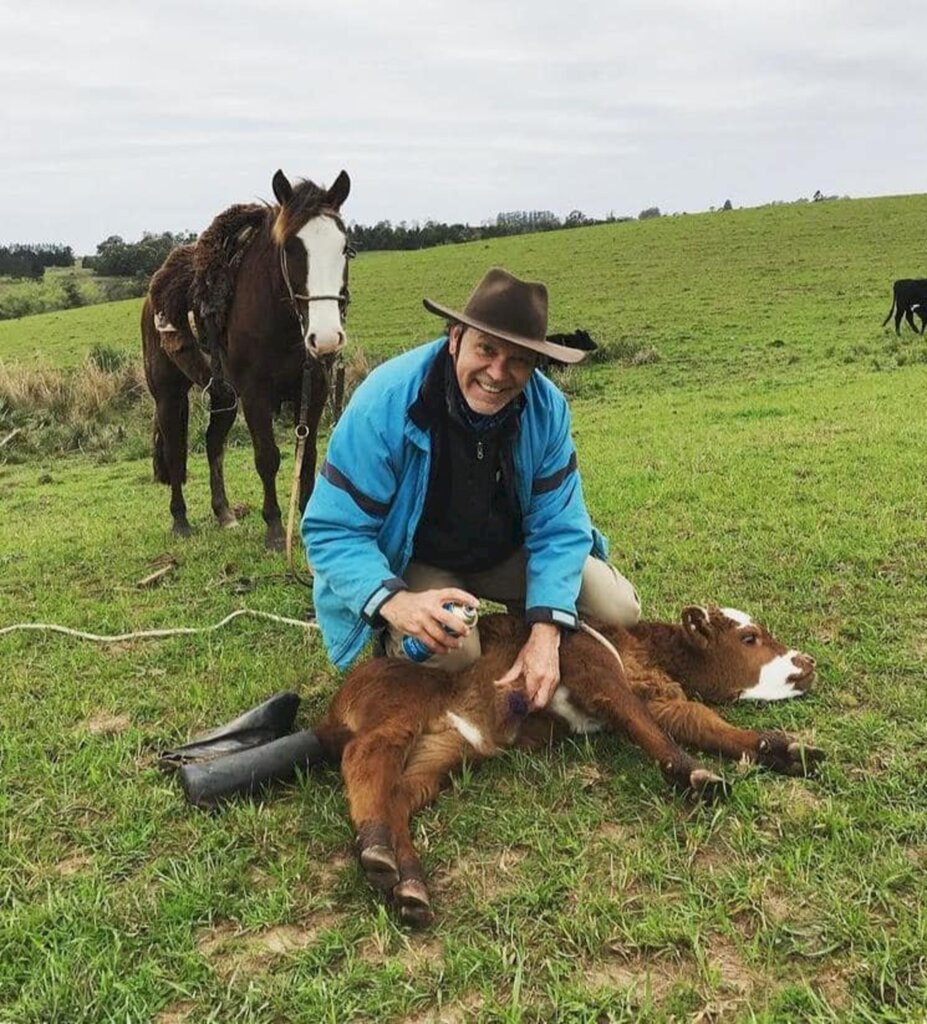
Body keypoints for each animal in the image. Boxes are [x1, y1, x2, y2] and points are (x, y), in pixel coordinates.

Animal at [140, 172, 350, 548]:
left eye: (345, 247)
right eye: (290, 248)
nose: (326, 337)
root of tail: (153, 296)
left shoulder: (314, 390)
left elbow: (309, 455)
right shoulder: (255, 394)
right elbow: (267, 457)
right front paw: (275, 530)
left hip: (223, 395)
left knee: (213, 443)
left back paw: (224, 513)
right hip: (168, 393)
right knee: (175, 450)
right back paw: (180, 520)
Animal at [315, 606, 819, 929]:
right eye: (749, 638)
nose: (808, 661)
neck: (637, 646)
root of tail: (338, 703)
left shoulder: (660, 694)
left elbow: (700, 721)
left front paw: (786, 750)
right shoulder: (595, 671)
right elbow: (643, 721)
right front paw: (695, 774)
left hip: (444, 748)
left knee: (399, 794)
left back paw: (409, 886)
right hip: (399, 708)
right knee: (366, 754)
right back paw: (376, 848)